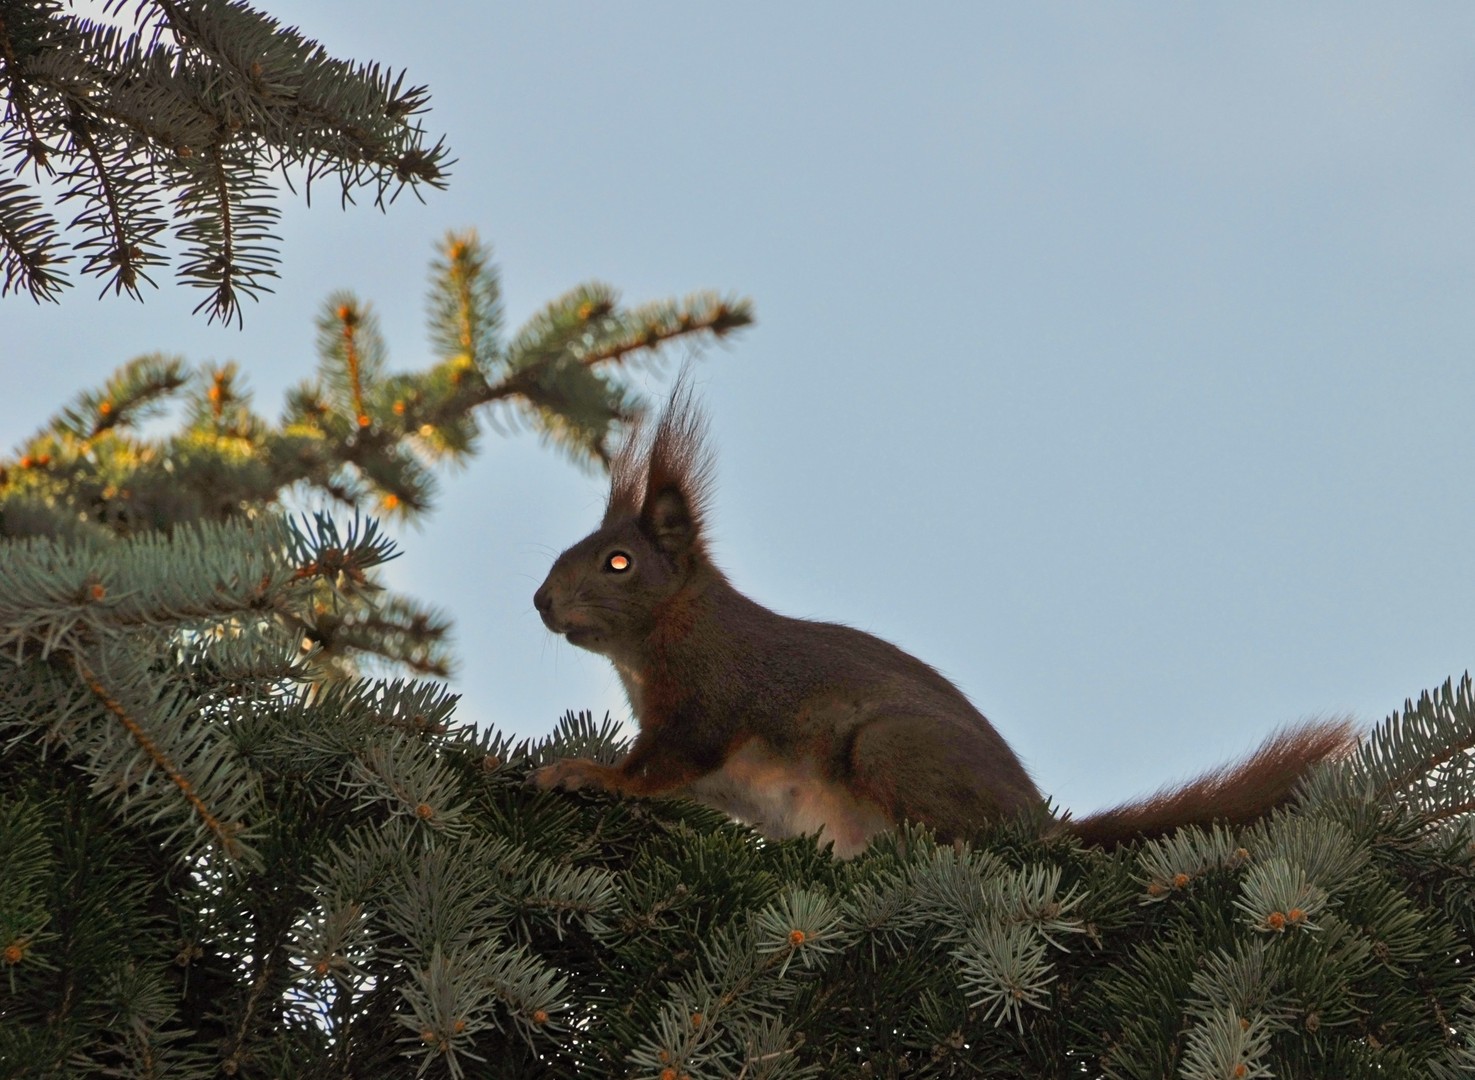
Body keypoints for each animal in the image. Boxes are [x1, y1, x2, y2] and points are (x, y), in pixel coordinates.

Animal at [529, 381, 1357, 857]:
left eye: (617, 563)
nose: (539, 602)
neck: (660, 638)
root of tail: (1041, 826)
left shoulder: (710, 697)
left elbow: (656, 768)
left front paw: (586, 772)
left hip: (891, 748)